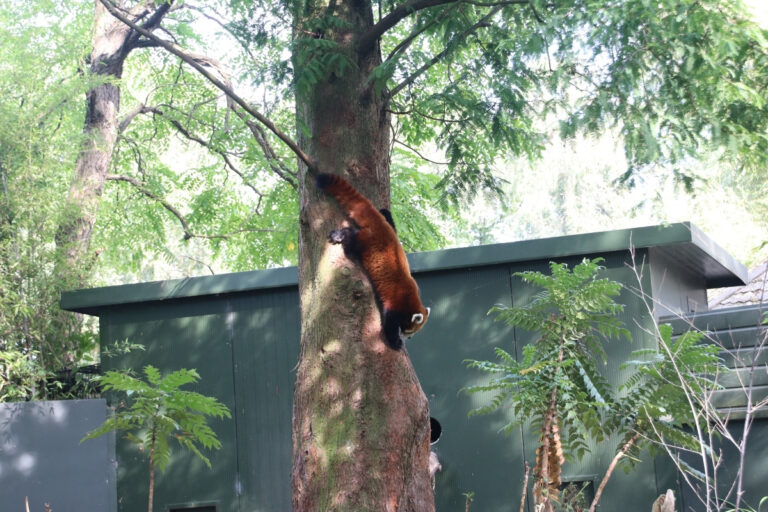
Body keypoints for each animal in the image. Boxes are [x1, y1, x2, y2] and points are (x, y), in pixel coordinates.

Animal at [316, 174, 428, 350]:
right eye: (410, 330)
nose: (409, 338)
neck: (411, 299)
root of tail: (381, 227)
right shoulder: (395, 303)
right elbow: (389, 324)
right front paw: (396, 342)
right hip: (366, 242)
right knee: (352, 237)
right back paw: (340, 234)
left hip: (385, 225)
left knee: (385, 213)